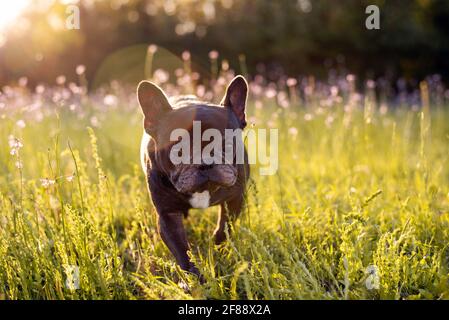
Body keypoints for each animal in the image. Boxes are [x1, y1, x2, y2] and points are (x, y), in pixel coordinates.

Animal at [136, 75, 248, 278]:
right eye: (178, 149)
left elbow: (224, 229)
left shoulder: (234, 200)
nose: (205, 161)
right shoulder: (168, 214)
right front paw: (196, 278)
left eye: (227, 144)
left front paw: (216, 252)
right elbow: (182, 250)